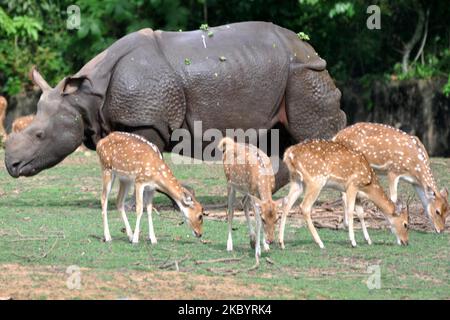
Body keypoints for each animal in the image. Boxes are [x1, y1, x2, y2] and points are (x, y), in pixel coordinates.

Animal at [278, 141, 408, 250]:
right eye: (405, 224)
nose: (406, 242)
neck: (368, 185)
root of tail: (288, 154)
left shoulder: (358, 195)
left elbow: (361, 214)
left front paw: (368, 240)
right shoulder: (352, 186)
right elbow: (350, 211)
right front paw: (353, 242)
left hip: (296, 180)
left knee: (286, 203)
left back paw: (281, 243)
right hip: (316, 180)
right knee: (304, 206)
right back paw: (320, 243)